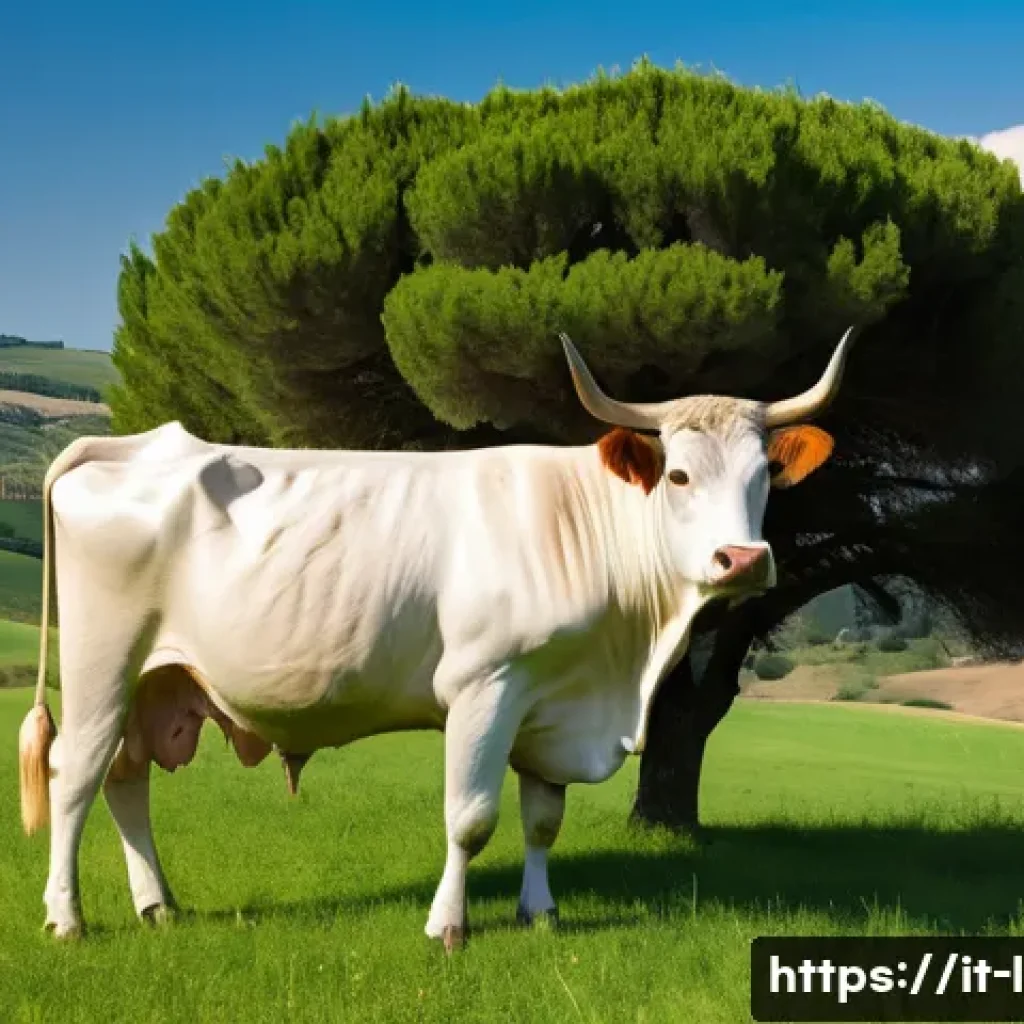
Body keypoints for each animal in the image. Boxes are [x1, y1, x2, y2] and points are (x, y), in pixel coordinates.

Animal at [18, 327, 855, 950]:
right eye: (679, 476)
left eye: (764, 477)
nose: (742, 560)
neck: (622, 666)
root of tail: (133, 444)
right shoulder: (486, 686)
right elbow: (472, 818)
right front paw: (448, 926)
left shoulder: (551, 703)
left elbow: (542, 820)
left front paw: (540, 913)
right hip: (102, 661)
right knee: (76, 773)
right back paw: (66, 918)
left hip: (158, 678)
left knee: (126, 778)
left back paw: (157, 905)